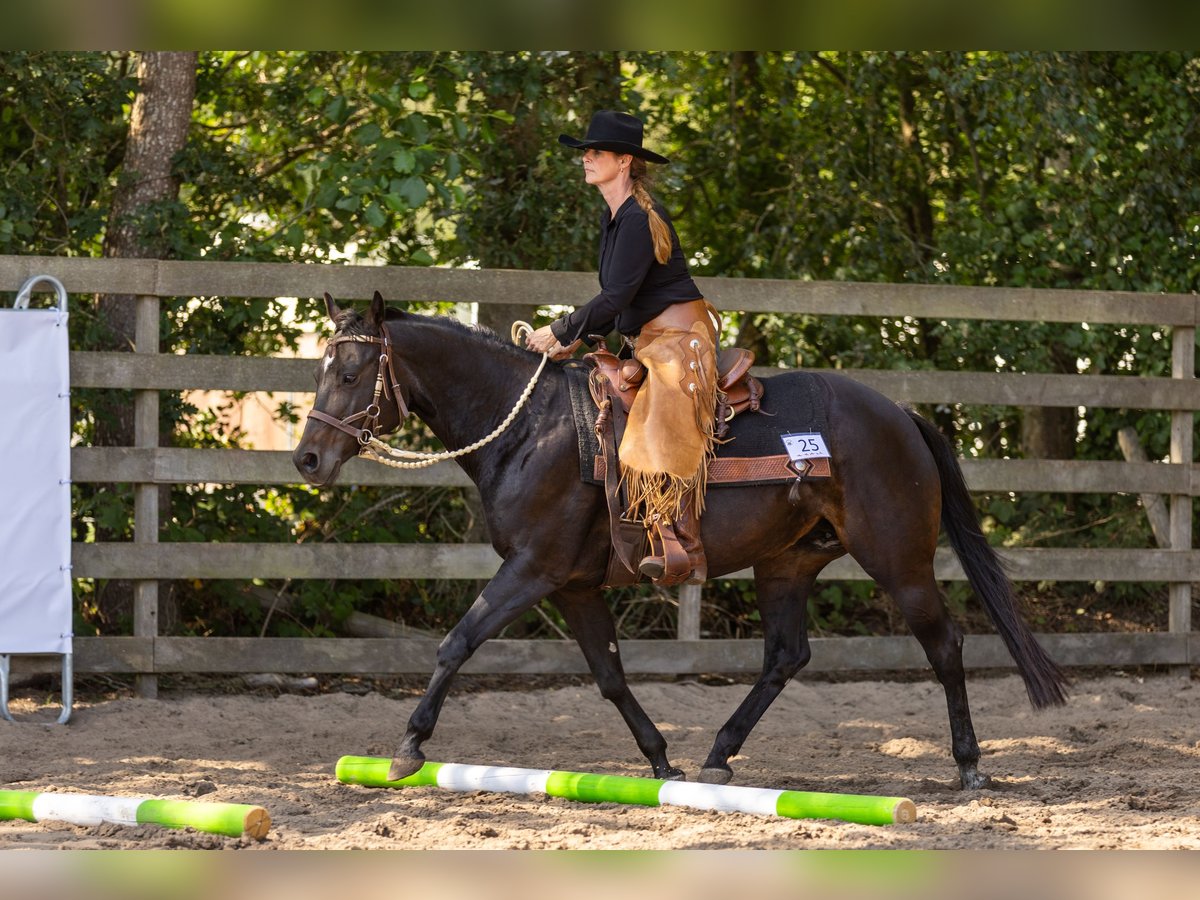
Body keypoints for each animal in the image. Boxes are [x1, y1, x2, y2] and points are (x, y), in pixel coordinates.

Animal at [293, 291, 1067, 790]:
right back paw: (719, 754)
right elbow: (609, 676)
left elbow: (456, 643)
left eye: (352, 372)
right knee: (787, 655)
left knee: (945, 645)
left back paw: (969, 763)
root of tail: (900, 414)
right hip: (786, 564)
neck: (530, 429)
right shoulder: (573, 586)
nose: (306, 459)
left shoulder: (531, 571)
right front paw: (660, 759)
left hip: (898, 561)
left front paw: (408, 746)